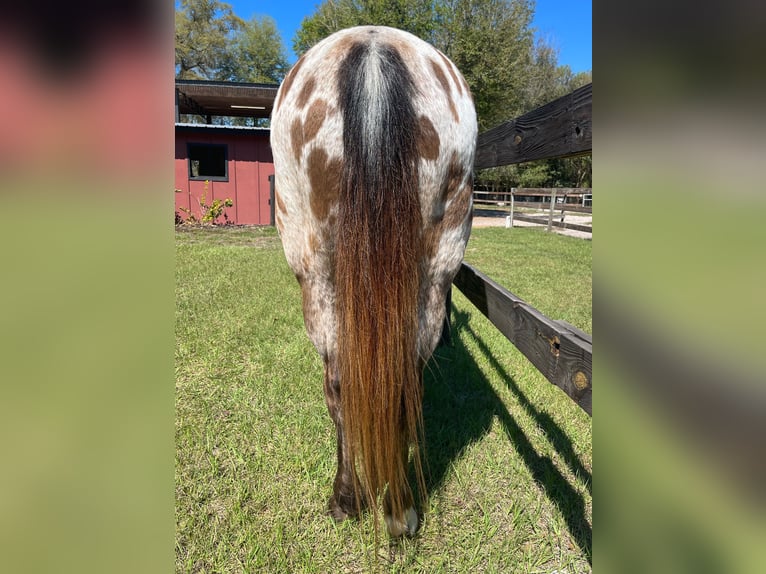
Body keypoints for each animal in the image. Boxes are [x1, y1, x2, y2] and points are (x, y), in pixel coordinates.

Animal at [268, 25, 474, 540]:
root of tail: (374, 49)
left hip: (316, 270)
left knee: (342, 384)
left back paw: (352, 499)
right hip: (433, 262)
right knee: (395, 377)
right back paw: (397, 509)